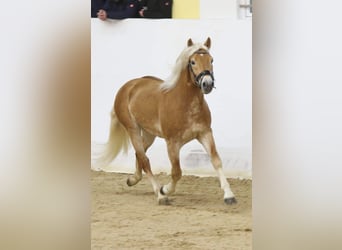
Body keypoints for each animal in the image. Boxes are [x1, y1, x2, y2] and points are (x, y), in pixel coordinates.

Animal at [95, 37, 236, 205]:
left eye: (211, 60)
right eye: (193, 62)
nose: (207, 84)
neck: (186, 104)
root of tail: (127, 87)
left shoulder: (205, 134)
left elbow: (216, 161)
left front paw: (229, 195)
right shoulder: (172, 143)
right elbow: (176, 172)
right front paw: (165, 190)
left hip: (149, 134)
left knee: (140, 155)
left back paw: (133, 179)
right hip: (132, 129)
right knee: (145, 160)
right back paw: (160, 195)